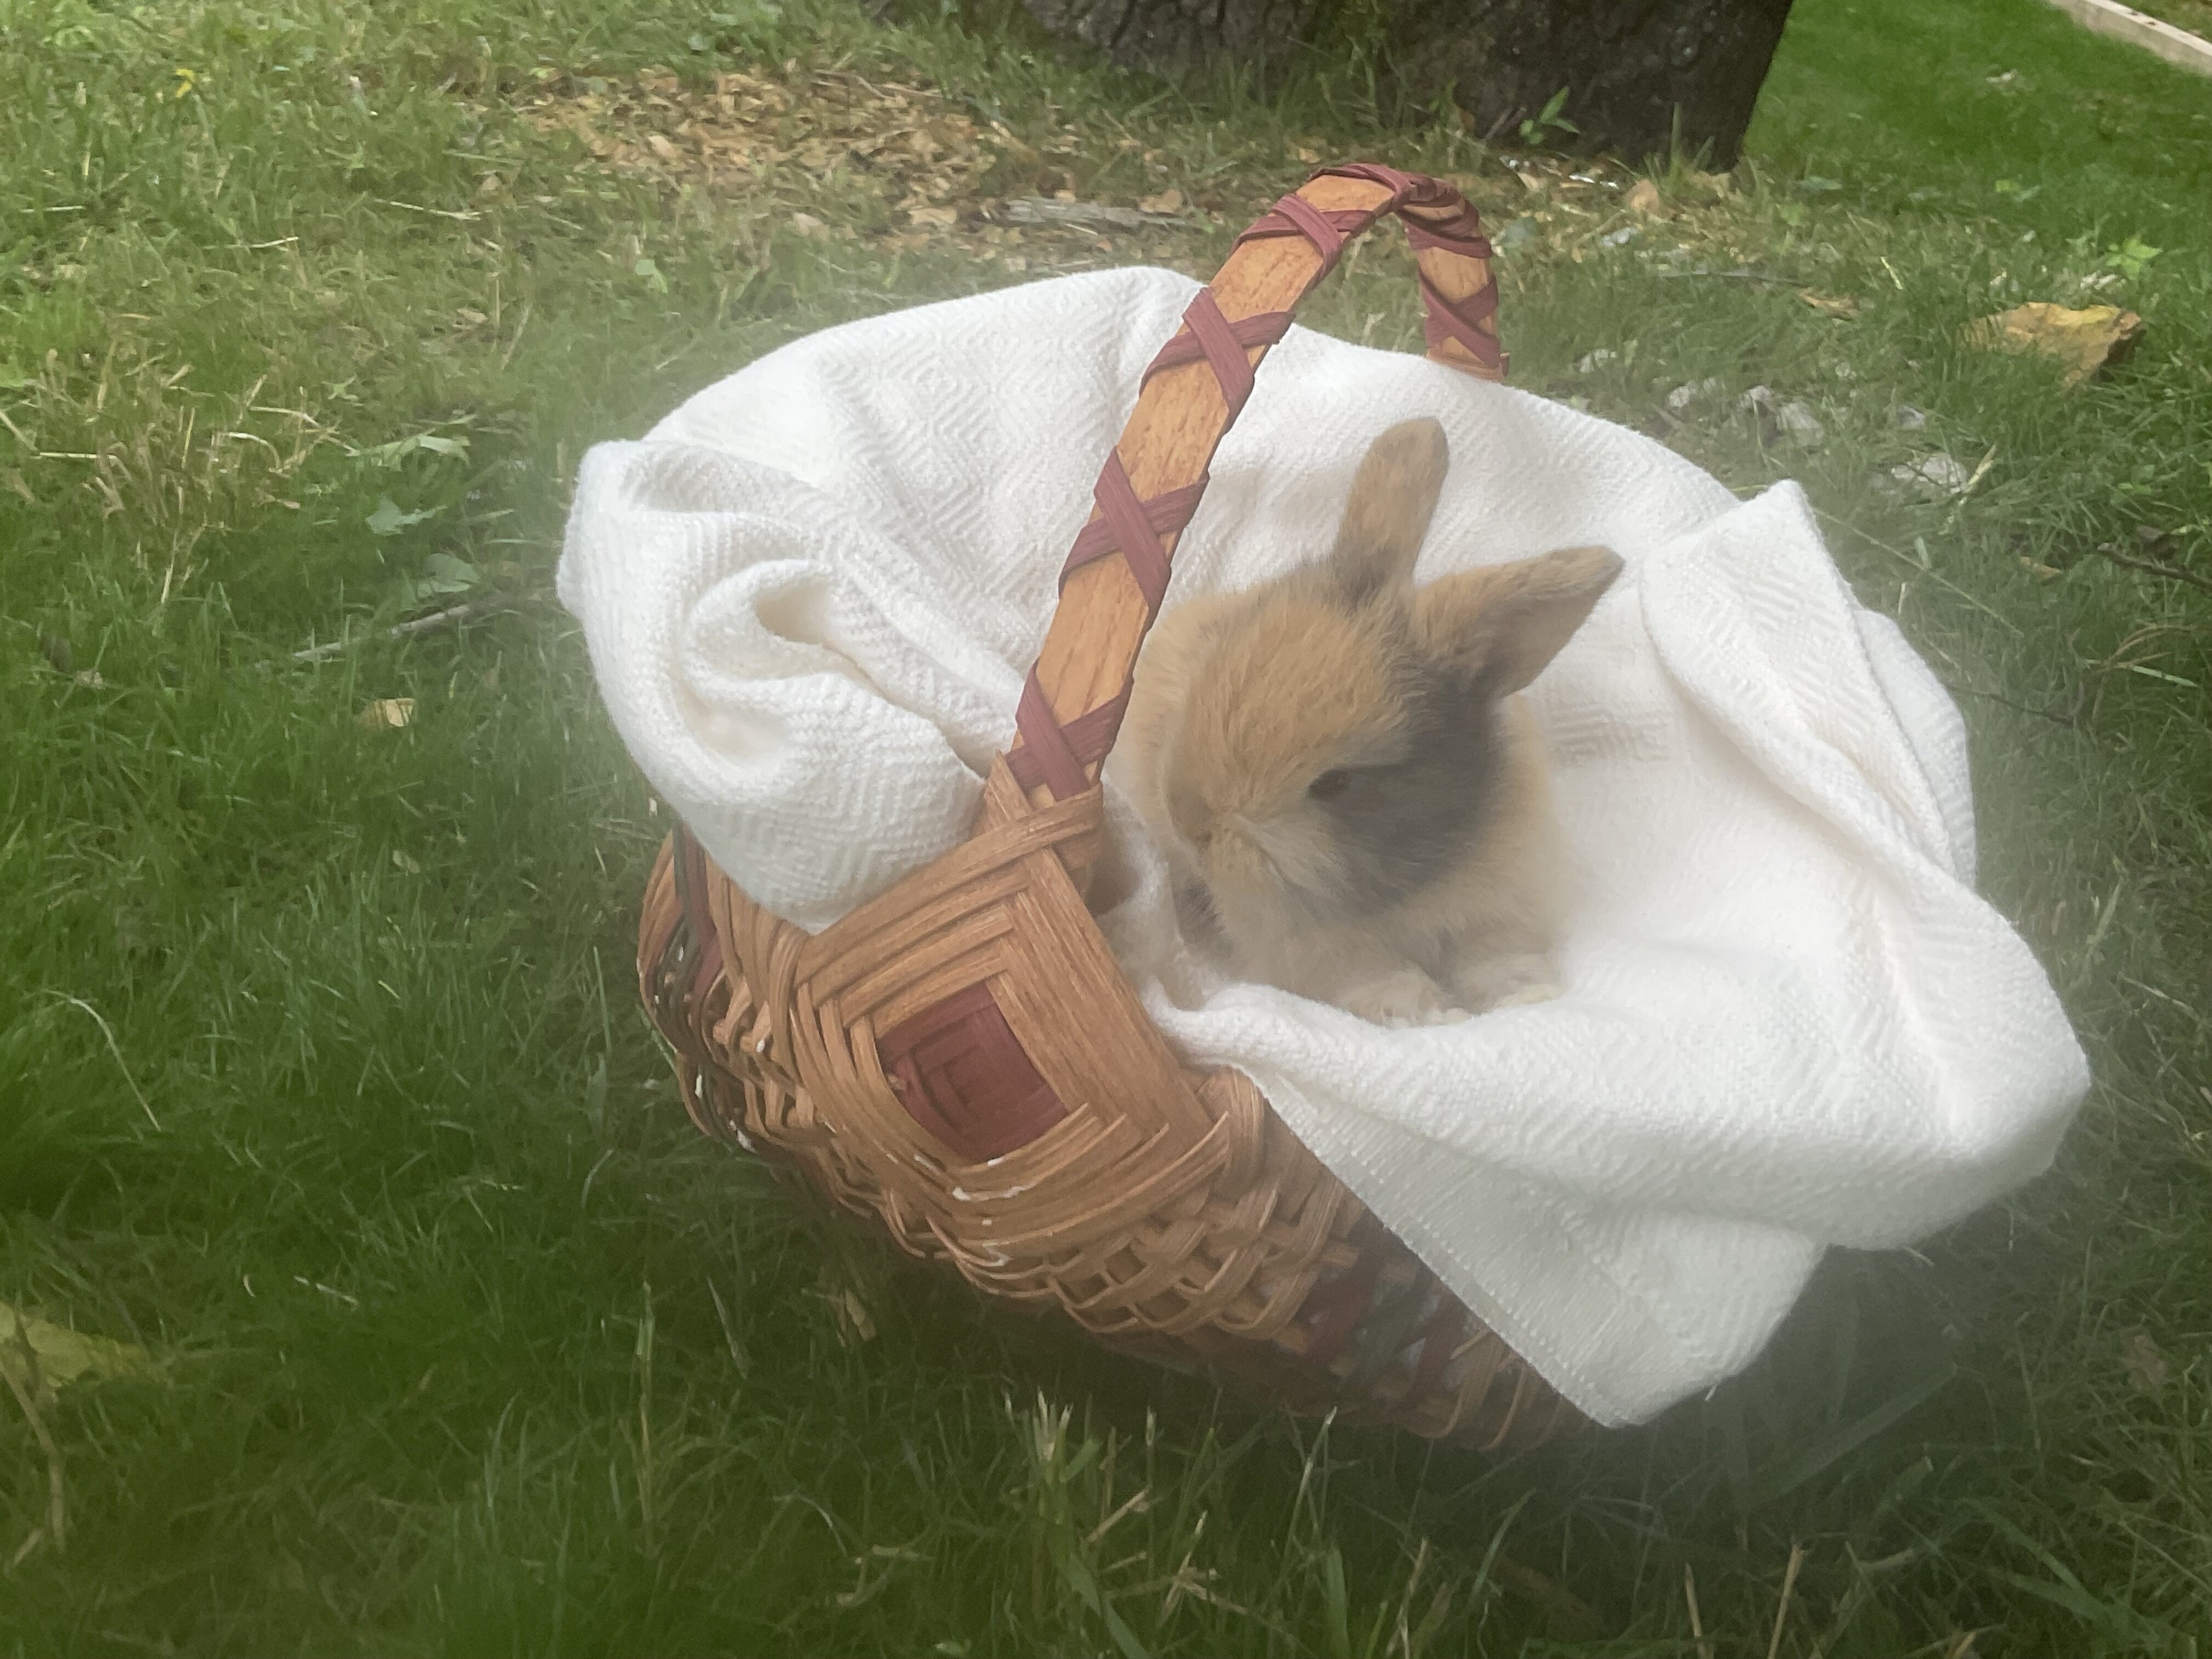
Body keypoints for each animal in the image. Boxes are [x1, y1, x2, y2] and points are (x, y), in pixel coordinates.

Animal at [1110, 417, 1622, 1027]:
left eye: (1335, 783)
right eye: (1212, 668)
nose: (1190, 822)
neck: (1414, 880)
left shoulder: (1504, 907)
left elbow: (1500, 959)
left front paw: (1527, 998)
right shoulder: (1331, 953)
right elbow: (1385, 981)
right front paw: (1430, 1018)